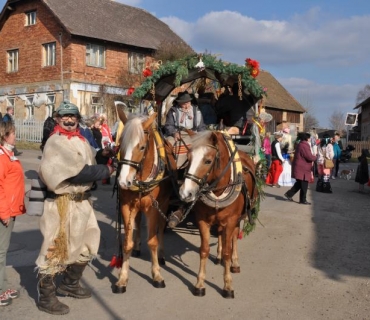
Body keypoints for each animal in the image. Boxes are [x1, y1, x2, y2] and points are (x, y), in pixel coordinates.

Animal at [112, 109, 176, 294]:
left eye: (141, 147)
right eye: (120, 144)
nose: (123, 181)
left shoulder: (154, 207)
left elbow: (153, 241)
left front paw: (157, 275)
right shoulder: (126, 206)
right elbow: (127, 243)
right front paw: (122, 278)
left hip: (164, 204)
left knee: (160, 228)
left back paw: (161, 255)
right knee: (138, 224)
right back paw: (138, 247)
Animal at [178, 129, 258, 298]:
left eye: (208, 161)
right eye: (188, 158)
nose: (185, 193)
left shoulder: (231, 220)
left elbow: (229, 249)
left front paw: (227, 285)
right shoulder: (202, 221)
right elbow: (204, 250)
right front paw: (200, 284)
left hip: (239, 218)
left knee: (234, 237)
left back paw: (235, 263)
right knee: (221, 233)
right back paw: (219, 256)